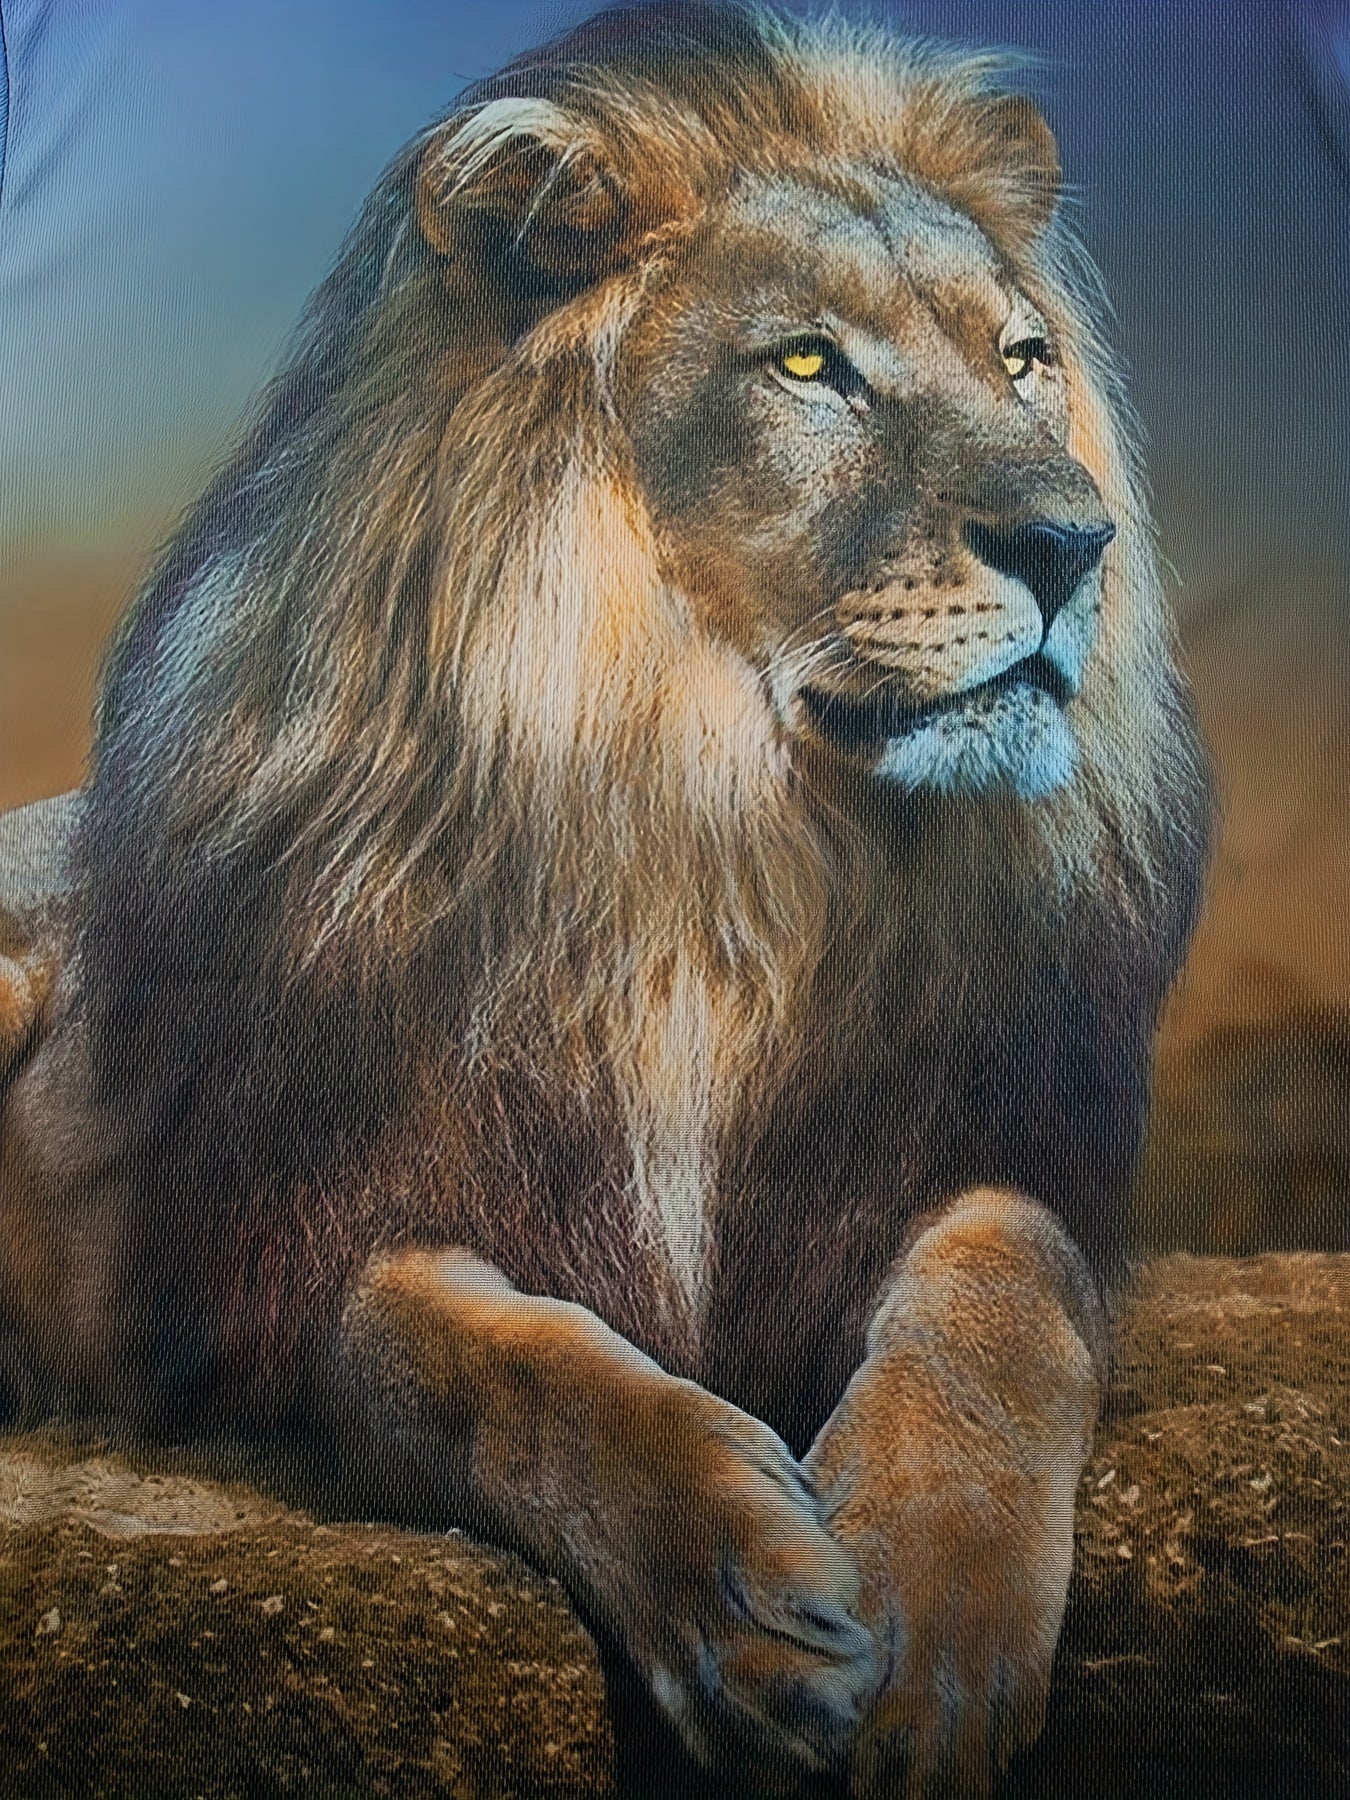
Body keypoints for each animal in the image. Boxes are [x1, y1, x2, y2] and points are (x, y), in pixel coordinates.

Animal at [0, 3, 1212, 1793]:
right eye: (806, 367)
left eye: (1020, 360)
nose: (1074, 541)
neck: (717, 835)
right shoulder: (319, 1233)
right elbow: (483, 1368)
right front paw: (745, 1608)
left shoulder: (983, 1147)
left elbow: (1003, 1302)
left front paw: (932, 1630)